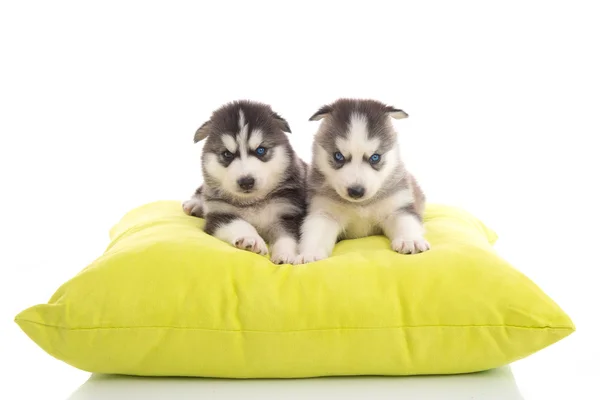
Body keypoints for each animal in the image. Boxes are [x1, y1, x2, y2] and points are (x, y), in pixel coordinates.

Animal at [182, 100, 304, 264]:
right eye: (227, 154)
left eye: (260, 150)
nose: (246, 181)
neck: (252, 202)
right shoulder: (219, 215)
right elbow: (239, 223)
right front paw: (251, 239)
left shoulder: (288, 213)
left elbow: (287, 236)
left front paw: (286, 255)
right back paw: (194, 204)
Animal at [294, 98, 426, 264]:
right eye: (338, 156)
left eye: (375, 157)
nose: (356, 191)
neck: (360, 205)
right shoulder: (323, 212)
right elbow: (315, 232)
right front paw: (310, 253)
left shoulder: (398, 207)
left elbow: (406, 222)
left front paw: (410, 241)